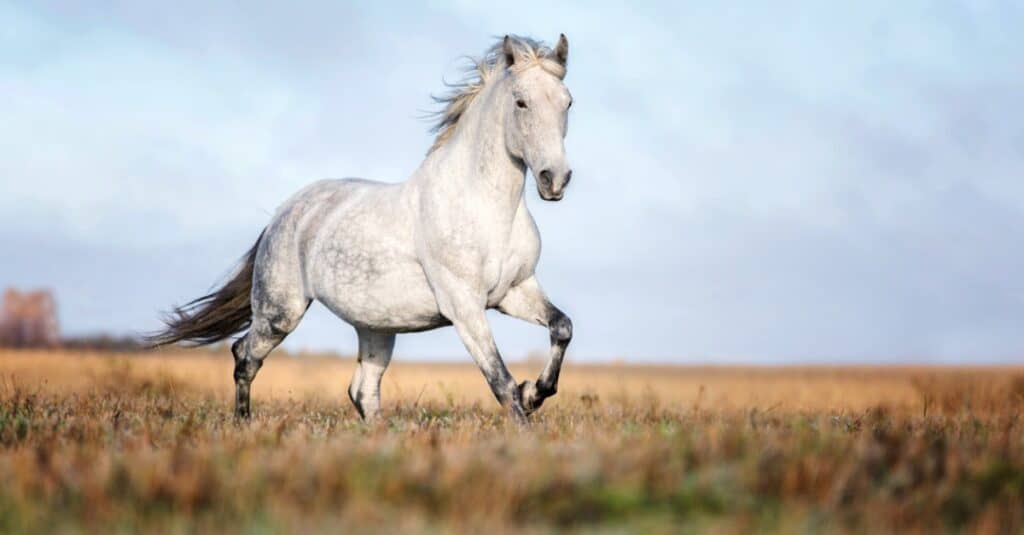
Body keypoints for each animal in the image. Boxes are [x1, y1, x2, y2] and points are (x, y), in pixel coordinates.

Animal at [149, 35, 575, 424]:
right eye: (521, 102)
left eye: (567, 101)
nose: (555, 179)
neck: (486, 209)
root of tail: (281, 215)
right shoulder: (464, 306)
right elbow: (500, 382)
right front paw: (524, 419)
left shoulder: (515, 291)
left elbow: (562, 327)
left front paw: (536, 392)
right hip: (280, 311)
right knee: (245, 357)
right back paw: (243, 425)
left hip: (376, 327)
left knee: (362, 392)